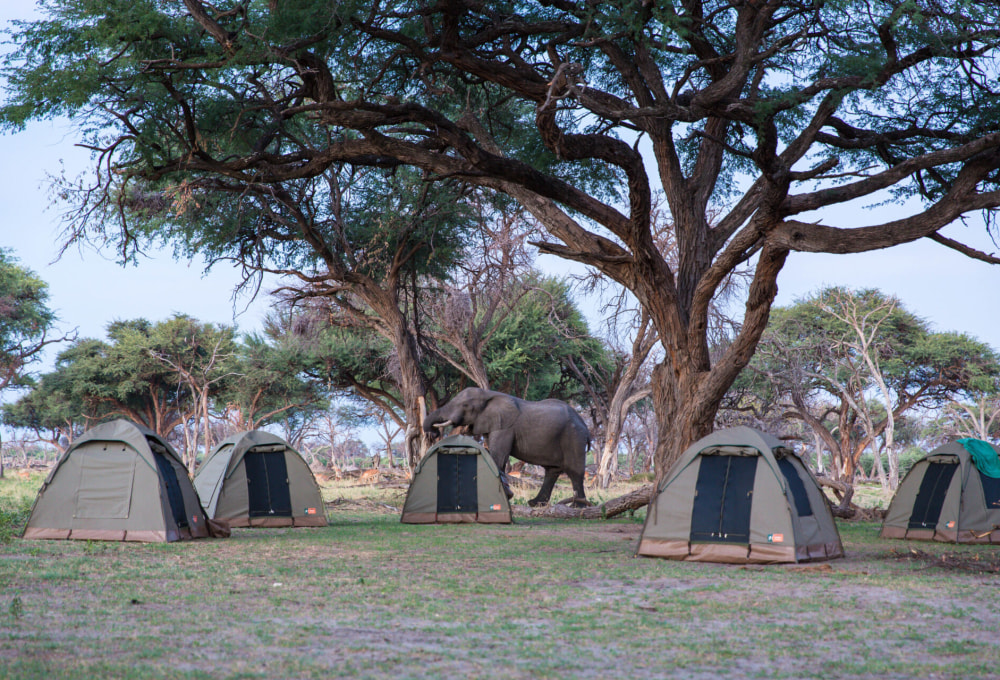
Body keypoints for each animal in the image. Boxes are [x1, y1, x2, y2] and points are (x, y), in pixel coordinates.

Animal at [423, 387, 590, 507]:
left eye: (465, 405)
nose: (433, 433)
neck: (488, 394)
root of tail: (584, 424)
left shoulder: (505, 427)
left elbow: (497, 456)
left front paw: (505, 496)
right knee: (552, 471)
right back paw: (535, 504)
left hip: (574, 436)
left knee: (574, 471)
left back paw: (578, 507)